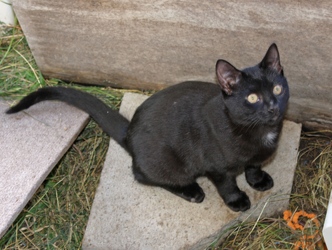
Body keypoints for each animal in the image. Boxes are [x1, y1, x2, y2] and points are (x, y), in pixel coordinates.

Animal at [6, 44, 290, 212]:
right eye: (252, 98)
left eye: (277, 89)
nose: (273, 108)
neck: (256, 131)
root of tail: (129, 132)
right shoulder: (215, 167)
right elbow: (227, 184)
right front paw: (237, 200)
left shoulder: (256, 156)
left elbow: (253, 165)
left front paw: (258, 180)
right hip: (169, 164)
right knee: (142, 174)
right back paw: (191, 191)